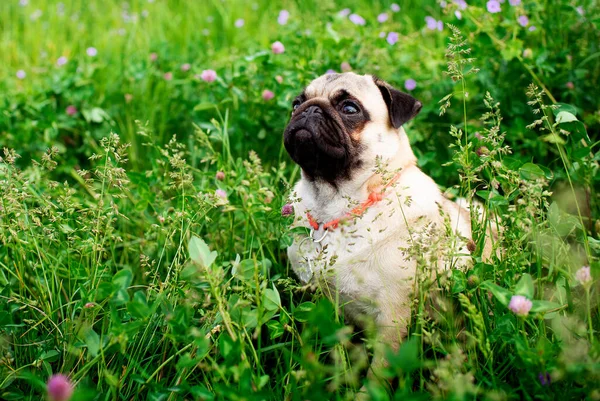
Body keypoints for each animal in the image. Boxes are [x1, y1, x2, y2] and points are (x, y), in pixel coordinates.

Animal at [284, 72, 490, 376]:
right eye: (297, 103)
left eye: (349, 108)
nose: (309, 109)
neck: (333, 207)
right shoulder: (325, 304)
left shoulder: (392, 317)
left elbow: (377, 372)